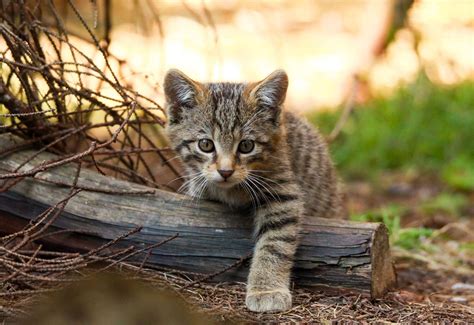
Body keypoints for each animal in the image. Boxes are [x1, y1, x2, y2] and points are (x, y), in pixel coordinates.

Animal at [165, 69, 342, 312]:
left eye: (246, 146)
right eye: (206, 145)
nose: (226, 171)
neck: (232, 189)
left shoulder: (283, 193)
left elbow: (274, 243)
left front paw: (266, 289)